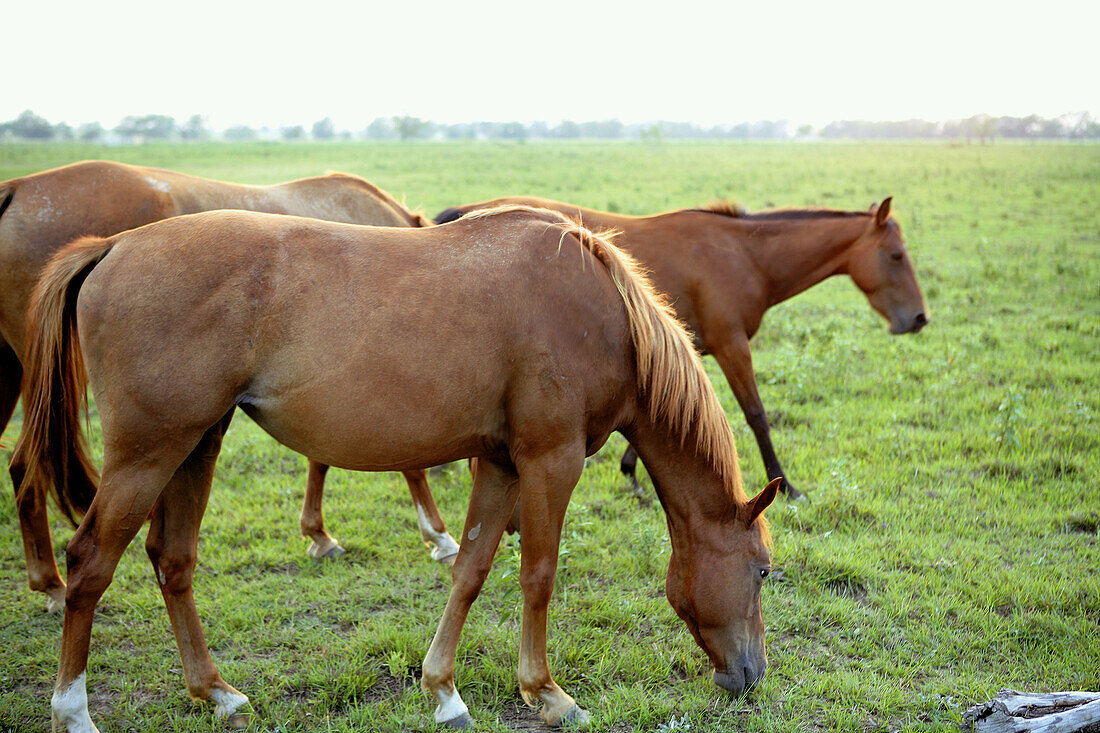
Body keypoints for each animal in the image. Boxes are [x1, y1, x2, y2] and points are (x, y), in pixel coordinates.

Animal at [0, 158, 455, 611]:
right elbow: (404, 463)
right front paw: (437, 535)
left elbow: (320, 457)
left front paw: (318, 533)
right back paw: (55, 585)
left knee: (22, 464)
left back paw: (48, 582)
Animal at [12, 206, 778, 730]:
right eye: (764, 571)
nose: (751, 675)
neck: (603, 310)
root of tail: (114, 245)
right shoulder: (549, 460)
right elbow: (537, 574)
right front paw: (547, 692)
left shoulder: (500, 463)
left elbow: (471, 569)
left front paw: (443, 689)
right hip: (149, 452)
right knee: (89, 563)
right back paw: (73, 709)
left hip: (196, 443)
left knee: (173, 561)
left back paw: (217, 691)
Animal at [437, 193, 928, 497]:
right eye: (896, 256)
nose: (919, 318)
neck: (744, 255)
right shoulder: (732, 346)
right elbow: (756, 415)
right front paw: (786, 484)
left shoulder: (683, 351)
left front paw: (631, 472)